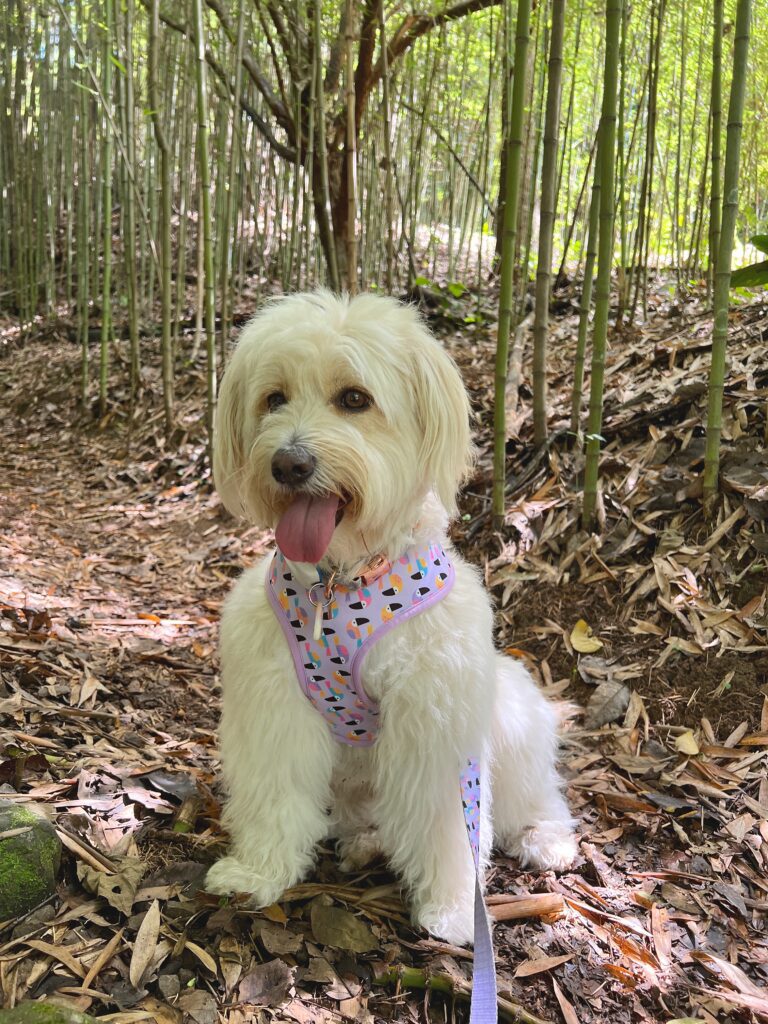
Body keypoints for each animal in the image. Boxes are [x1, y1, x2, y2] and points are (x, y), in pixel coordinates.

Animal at [204, 290, 577, 942]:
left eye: (355, 398)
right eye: (273, 398)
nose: (288, 464)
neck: (340, 581)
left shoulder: (436, 719)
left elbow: (446, 824)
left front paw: (452, 908)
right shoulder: (275, 703)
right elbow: (276, 792)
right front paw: (258, 873)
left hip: (509, 709)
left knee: (535, 795)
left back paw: (544, 837)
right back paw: (362, 841)